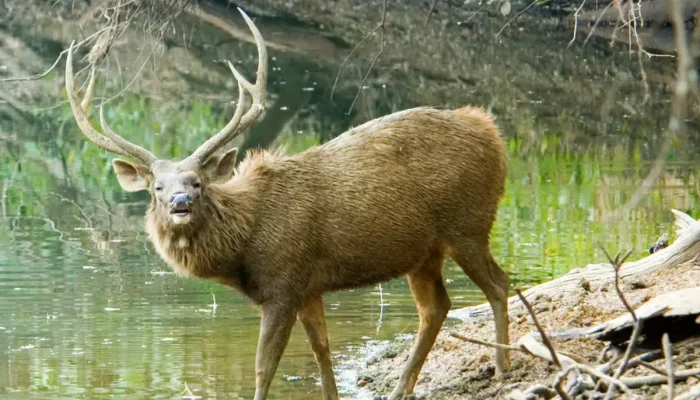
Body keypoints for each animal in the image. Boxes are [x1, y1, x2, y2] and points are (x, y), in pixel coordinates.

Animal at [65, 7, 512, 400]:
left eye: (197, 182)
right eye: (156, 187)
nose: (179, 202)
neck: (243, 249)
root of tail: (492, 132)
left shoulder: (284, 283)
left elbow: (265, 366)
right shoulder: (309, 287)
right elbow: (322, 351)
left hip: (469, 223)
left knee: (499, 283)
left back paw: (504, 366)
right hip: (423, 251)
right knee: (436, 307)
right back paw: (403, 387)